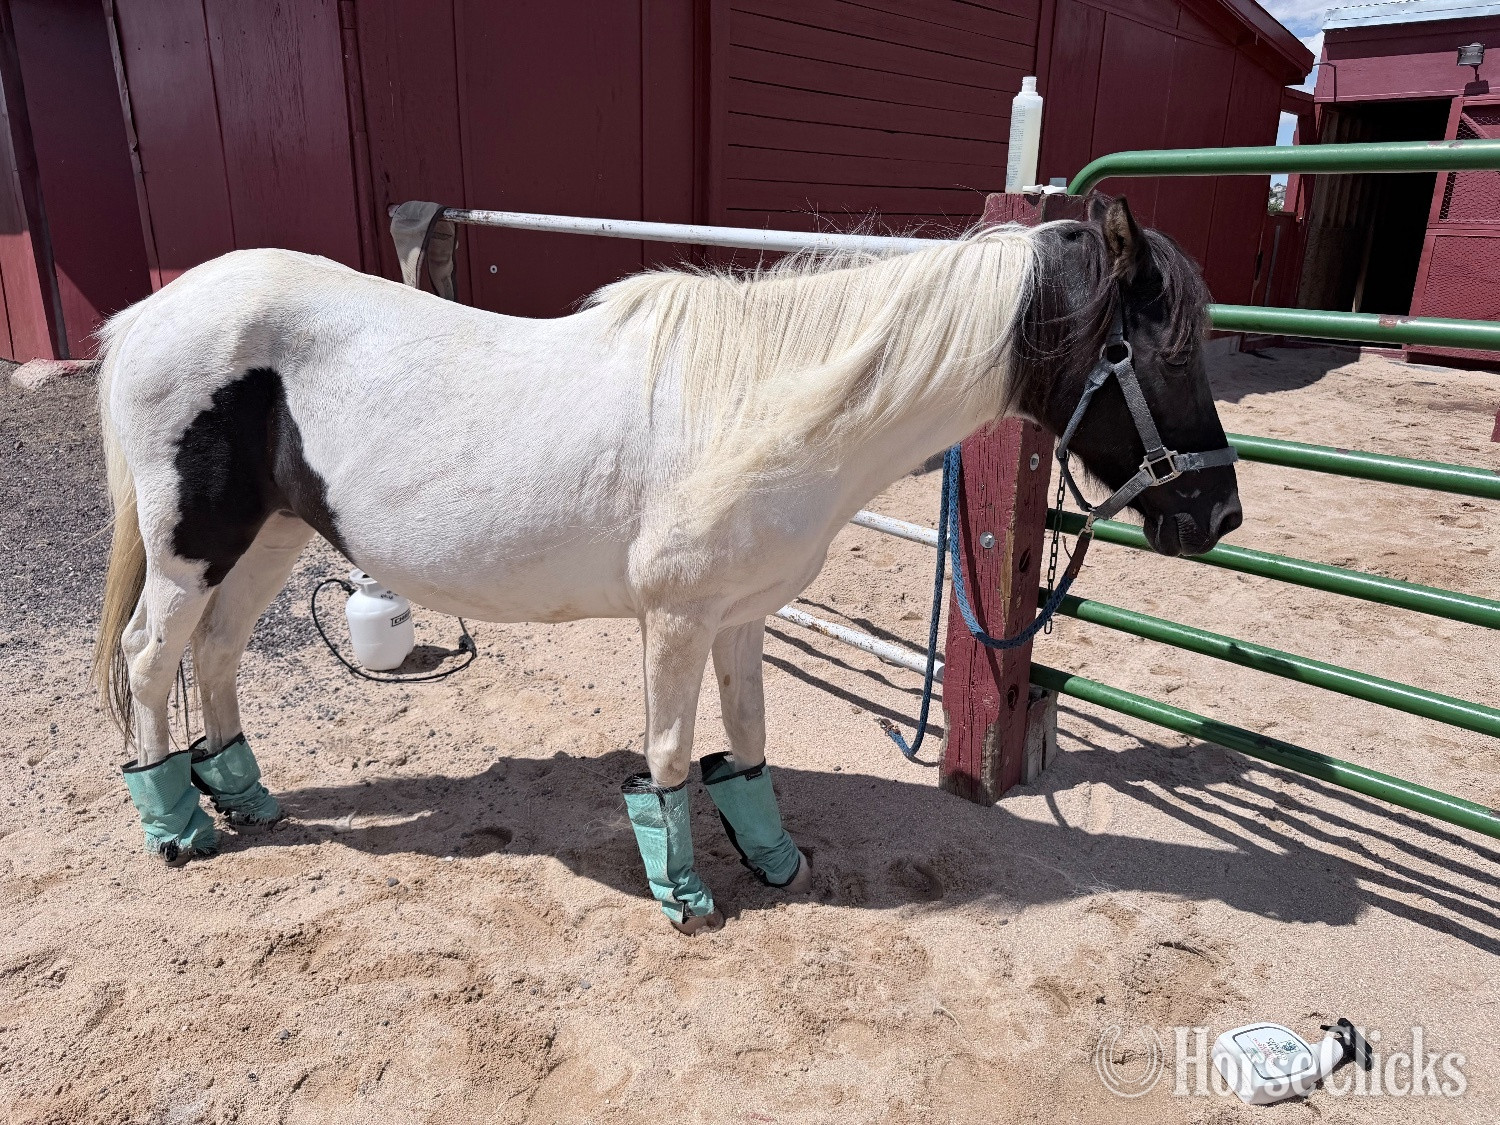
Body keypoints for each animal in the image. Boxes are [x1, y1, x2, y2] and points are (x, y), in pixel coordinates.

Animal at [90, 196, 1241, 933]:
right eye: (1171, 348)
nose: (1219, 514)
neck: (765, 403)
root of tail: (150, 315)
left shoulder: (740, 617)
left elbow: (750, 746)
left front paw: (777, 863)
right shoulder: (678, 620)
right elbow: (674, 759)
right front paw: (686, 899)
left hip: (271, 537)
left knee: (217, 653)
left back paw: (244, 799)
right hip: (194, 548)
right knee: (152, 657)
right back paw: (178, 830)